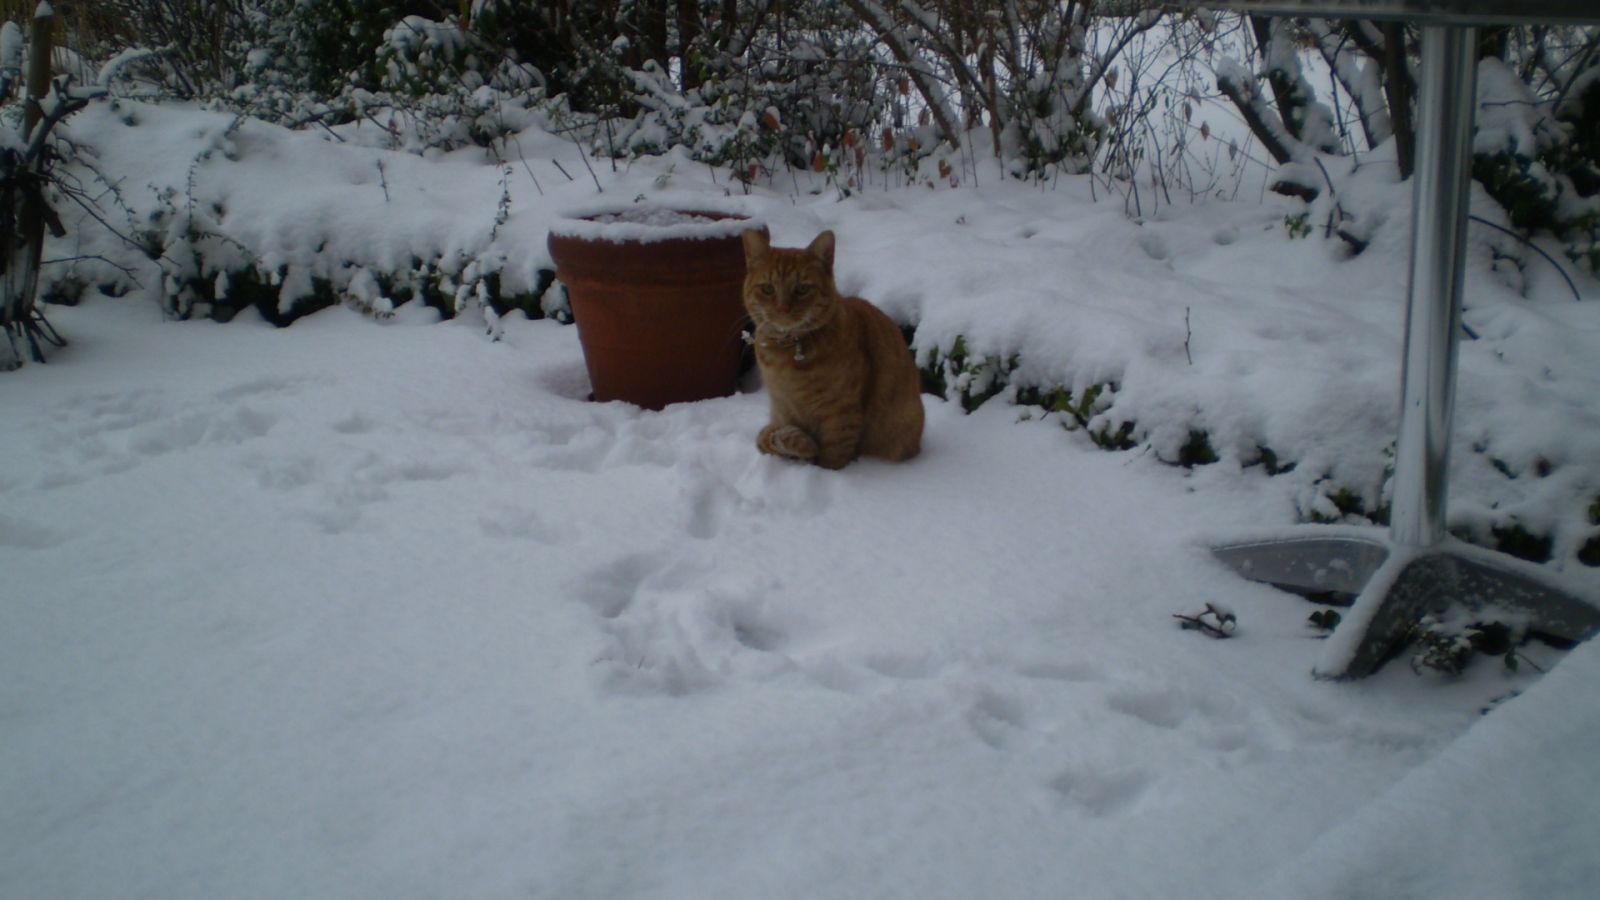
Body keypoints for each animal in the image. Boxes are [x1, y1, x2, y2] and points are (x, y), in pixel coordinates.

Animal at [739, 227, 928, 464]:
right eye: (767, 289)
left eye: (802, 289)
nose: (783, 309)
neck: (786, 356)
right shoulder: (783, 409)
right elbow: (778, 436)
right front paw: (801, 448)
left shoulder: (841, 413)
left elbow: (831, 457)